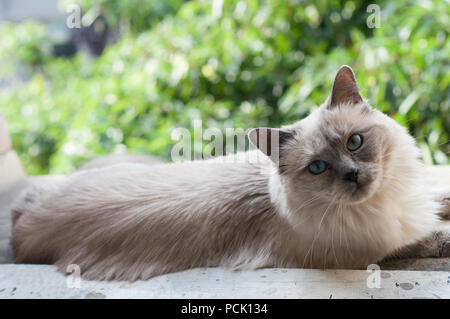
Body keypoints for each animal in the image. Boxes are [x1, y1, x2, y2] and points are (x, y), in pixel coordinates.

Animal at [8, 66, 448, 282]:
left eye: (354, 142)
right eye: (318, 167)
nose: (353, 176)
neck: (383, 202)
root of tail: (24, 212)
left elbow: (438, 198)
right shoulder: (375, 247)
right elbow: (430, 236)